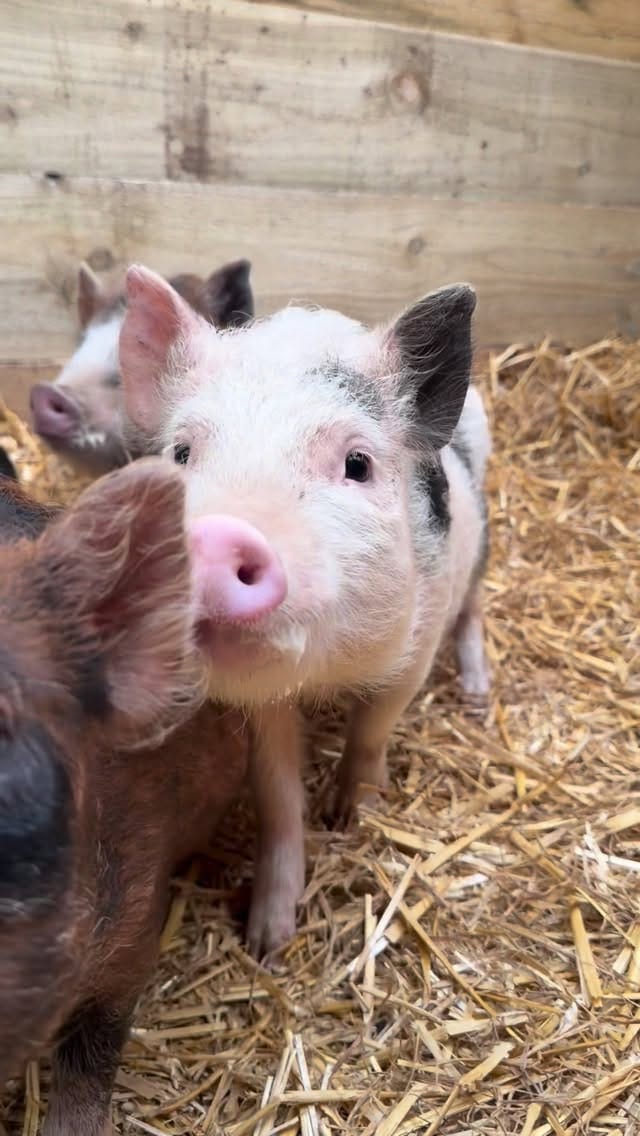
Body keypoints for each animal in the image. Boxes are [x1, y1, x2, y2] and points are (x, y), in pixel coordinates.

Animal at [118, 266, 492, 958]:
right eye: (182, 453)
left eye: (357, 464)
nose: (211, 537)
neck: (329, 671)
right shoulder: (259, 708)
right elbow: (275, 793)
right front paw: (267, 944)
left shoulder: (417, 646)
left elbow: (373, 728)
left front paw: (352, 815)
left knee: (474, 608)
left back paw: (479, 694)